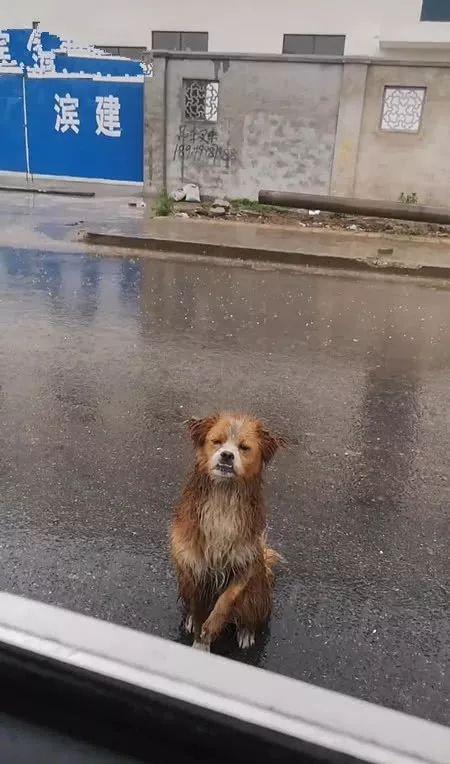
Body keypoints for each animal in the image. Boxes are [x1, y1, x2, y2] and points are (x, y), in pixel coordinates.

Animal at [171, 412, 284, 652]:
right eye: (217, 441)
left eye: (244, 447)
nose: (227, 455)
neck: (224, 496)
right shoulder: (194, 568)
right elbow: (198, 613)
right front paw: (199, 640)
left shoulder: (246, 563)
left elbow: (225, 602)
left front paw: (211, 629)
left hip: (257, 593)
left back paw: (246, 632)